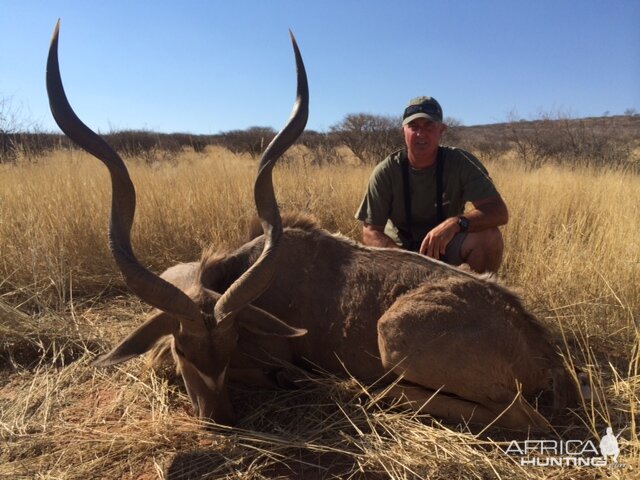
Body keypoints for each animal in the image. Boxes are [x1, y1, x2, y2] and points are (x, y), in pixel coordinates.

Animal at [46, 21, 580, 432]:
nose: (220, 420)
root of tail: (542, 350)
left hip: (395, 334)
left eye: (232, 342)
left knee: (524, 419)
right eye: (184, 347)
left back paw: (364, 391)